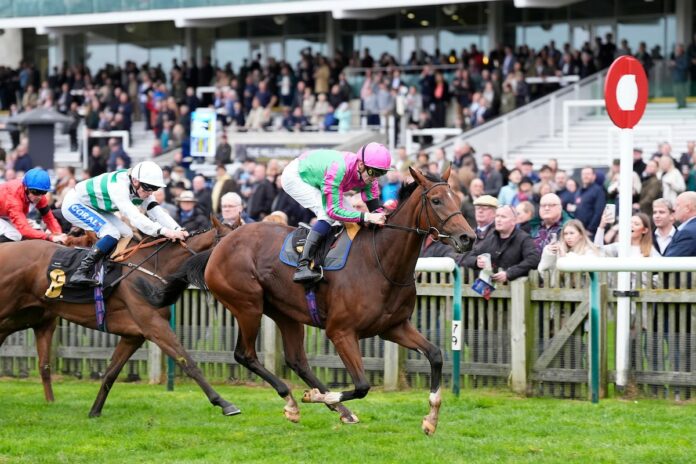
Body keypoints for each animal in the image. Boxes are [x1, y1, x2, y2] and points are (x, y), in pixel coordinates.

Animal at [0, 217, 242, 416]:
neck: (154, 268)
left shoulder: (133, 335)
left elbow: (111, 373)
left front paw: (94, 412)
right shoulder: (154, 326)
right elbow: (187, 361)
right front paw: (224, 403)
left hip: (25, 316)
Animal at [136, 168, 474, 436]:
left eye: (457, 198)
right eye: (436, 200)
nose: (468, 238)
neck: (381, 262)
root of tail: (220, 246)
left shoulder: (394, 327)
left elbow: (436, 355)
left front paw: (431, 418)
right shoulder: (341, 332)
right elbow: (362, 385)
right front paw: (318, 398)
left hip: (286, 313)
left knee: (297, 360)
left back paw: (333, 409)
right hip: (247, 305)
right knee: (246, 355)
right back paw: (293, 401)